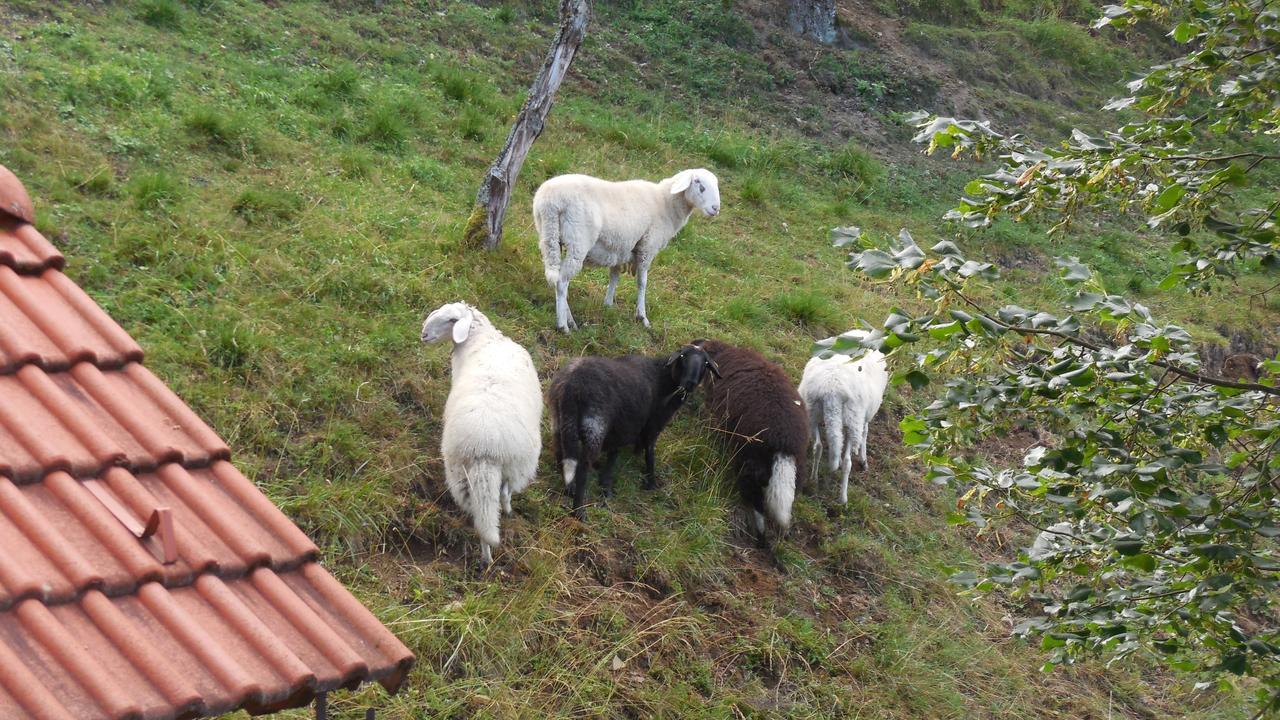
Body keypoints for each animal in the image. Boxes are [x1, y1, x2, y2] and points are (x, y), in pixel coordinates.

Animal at [419, 299, 540, 563]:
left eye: (452, 320)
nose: (424, 335)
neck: (483, 338)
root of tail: (486, 447)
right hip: (512, 465)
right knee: (500, 499)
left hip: (466, 472)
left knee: (483, 512)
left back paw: (486, 555)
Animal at [529, 169, 721, 333]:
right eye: (699, 184)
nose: (715, 209)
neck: (665, 204)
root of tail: (551, 201)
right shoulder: (647, 248)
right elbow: (642, 283)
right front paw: (642, 317)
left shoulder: (620, 248)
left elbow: (614, 276)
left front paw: (608, 305)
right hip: (578, 241)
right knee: (562, 282)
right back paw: (563, 326)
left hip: (548, 236)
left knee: (557, 279)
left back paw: (569, 319)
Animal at [550, 340, 721, 515]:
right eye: (682, 357)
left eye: (705, 363)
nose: (690, 383)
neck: (663, 379)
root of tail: (573, 384)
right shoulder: (653, 424)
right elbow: (649, 452)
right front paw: (651, 483)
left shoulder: (620, 428)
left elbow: (614, 454)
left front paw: (606, 483)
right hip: (595, 425)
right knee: (583, 467)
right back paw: (579, 510)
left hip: (561, 419)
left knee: (561, 451)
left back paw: (569, 487)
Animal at [798, 330, 890, 502]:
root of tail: (832, 388)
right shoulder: (860, 418)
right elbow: (863, 436)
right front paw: (862, 459)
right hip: (853, 418)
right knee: (850, 456)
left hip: (812, 412)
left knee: (818, 446)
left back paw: (814, 478)